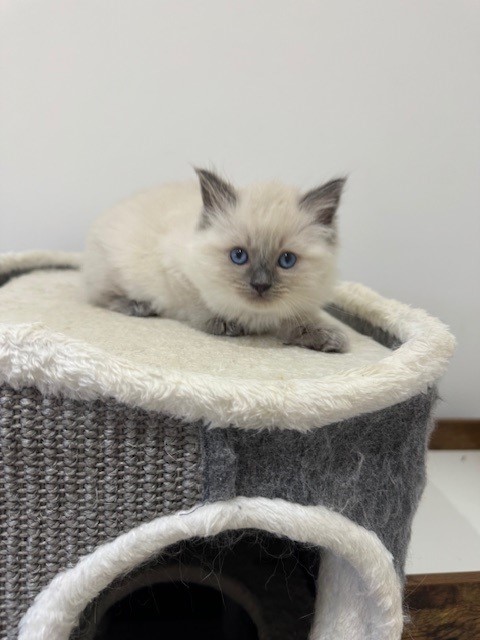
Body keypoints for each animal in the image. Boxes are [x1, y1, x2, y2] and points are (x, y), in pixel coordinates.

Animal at [83, 168, 348, 352]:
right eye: (239, 256)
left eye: (286, 260)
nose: (260, 285)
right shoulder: (177, 274)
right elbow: (202, 304)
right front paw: (228, 324)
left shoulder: (295, 307)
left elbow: (299, 320)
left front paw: (328, 337)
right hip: (112, 272)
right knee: (99, 297)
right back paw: (138, 306)